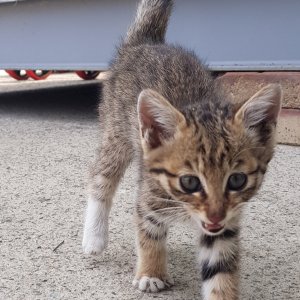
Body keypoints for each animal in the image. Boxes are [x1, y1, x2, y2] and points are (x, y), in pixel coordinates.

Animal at [82, 1, 282, 298]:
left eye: (237, 180)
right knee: (101, 178)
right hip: (115, 133)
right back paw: (94, 236)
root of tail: (148, 42)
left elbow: (220, 268)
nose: (215, 215)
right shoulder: (149, 197)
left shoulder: (225, 225)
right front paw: (151, 273)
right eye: (189, 182)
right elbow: (149, 232)